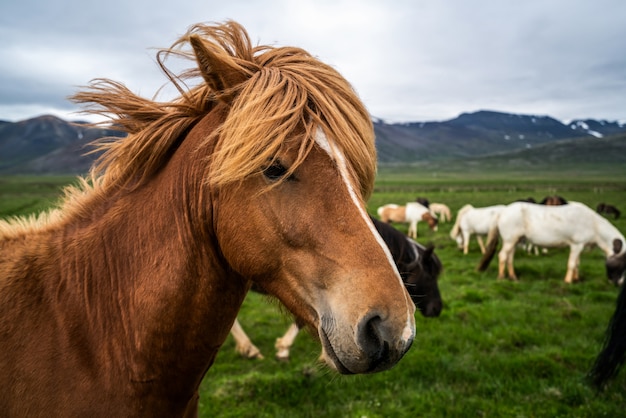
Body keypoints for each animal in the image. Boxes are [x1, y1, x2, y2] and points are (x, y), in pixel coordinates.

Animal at [478, 201, 624, 282]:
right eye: (623, 262)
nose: (620, 283)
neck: (593, 224)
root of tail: (502, 211)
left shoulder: (580, 246)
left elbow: (577, 263)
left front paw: (576, 279)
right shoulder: (576, 245)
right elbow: (572, 264)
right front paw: (568, 281)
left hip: (514, 240)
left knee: (509, 258)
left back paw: (513, 277)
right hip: (509, 240)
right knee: (502, 256)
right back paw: (501, 277)